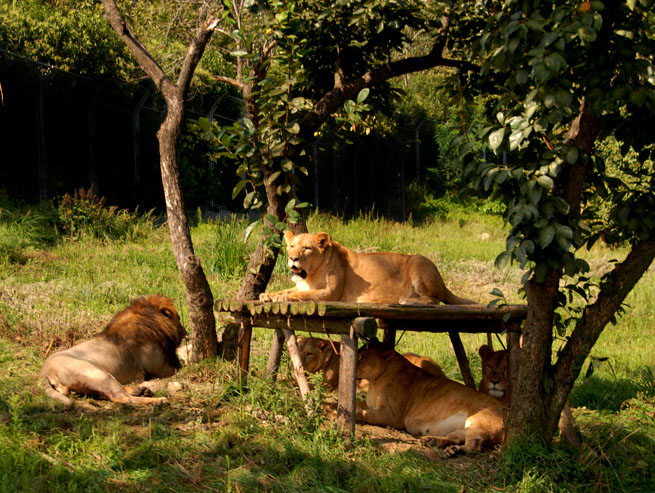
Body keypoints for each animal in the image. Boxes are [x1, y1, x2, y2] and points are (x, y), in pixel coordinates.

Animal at [40, 294, 186, 406]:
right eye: (179, 318)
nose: (185, 331)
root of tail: (44, 372)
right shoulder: (162, 368)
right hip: (99, 375)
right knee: (121, 398)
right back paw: (158, 400)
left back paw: (140, 390)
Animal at [258, 230, 474, 304]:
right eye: (292, 246)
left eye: (306, 248)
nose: (292, 258)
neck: (309, 274)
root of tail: (443, 282)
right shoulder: (302, 284)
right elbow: (289, 289)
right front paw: (267, 295)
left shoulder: (331, 293)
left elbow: (302, 295)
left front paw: (283, 298)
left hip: (418, 262)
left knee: (434, 300)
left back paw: (406, 300)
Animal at [354, 338, 508, 454]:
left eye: (363, 357)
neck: (374, 382)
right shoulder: (369, 403)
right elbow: (358, 405)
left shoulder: (393, 416)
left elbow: (364, 414)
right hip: (467, 426)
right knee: (457, 436)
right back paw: (435, 441)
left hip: (477, 419)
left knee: (474, 446)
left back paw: (454, 451)